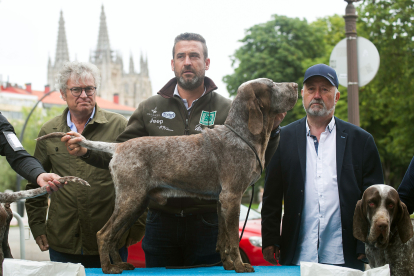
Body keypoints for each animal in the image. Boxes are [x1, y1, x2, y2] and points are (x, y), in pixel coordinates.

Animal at [37, 78, 298, 274]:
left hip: (136, 204)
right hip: (131, 199)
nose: (295, 84)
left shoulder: (223, 200)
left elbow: (223, 239)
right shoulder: (232, 196)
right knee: (104, 234)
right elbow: (233, 239)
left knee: (115, 237)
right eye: (271, 85)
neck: (242, 136)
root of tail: (118, 147)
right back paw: (108, 268)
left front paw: (228, 265)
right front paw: (241, 266)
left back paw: (119, 263)